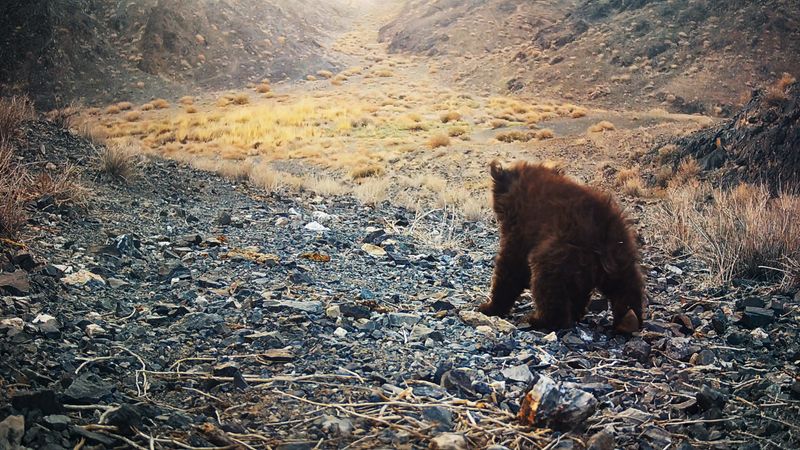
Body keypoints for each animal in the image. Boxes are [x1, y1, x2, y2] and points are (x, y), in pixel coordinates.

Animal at [478, 160, 645, 333]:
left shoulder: (523, 228)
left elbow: (511, 265)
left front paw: (489, 307)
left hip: (561, 250)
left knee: (548, 280)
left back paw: (539, 320)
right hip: (619, 254)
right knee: (626, 284)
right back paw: (628, 319)